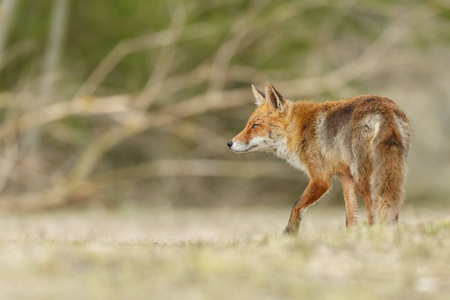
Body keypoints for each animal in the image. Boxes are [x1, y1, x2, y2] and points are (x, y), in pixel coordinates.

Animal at [229, 82, 412, 234]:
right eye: (248, 124)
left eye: (255, 125)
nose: (229, 143)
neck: (299, 129)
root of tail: (384, 105)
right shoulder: (346, 177)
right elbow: (351, 217)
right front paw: (350, 238)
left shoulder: (321, 179)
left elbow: (296, 205)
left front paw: (290, 233)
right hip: (388, 171)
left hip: (363, 179)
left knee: (373, 207)